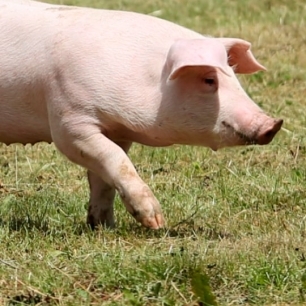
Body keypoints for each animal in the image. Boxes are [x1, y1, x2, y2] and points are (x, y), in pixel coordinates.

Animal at [0, 0, 282, 230]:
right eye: (209, 79)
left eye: (233, 75)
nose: (273, 124)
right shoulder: (69, 119)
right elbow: (116, 160)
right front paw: (156, 222)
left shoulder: (116, 131)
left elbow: (105, 177)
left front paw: (104, 226)